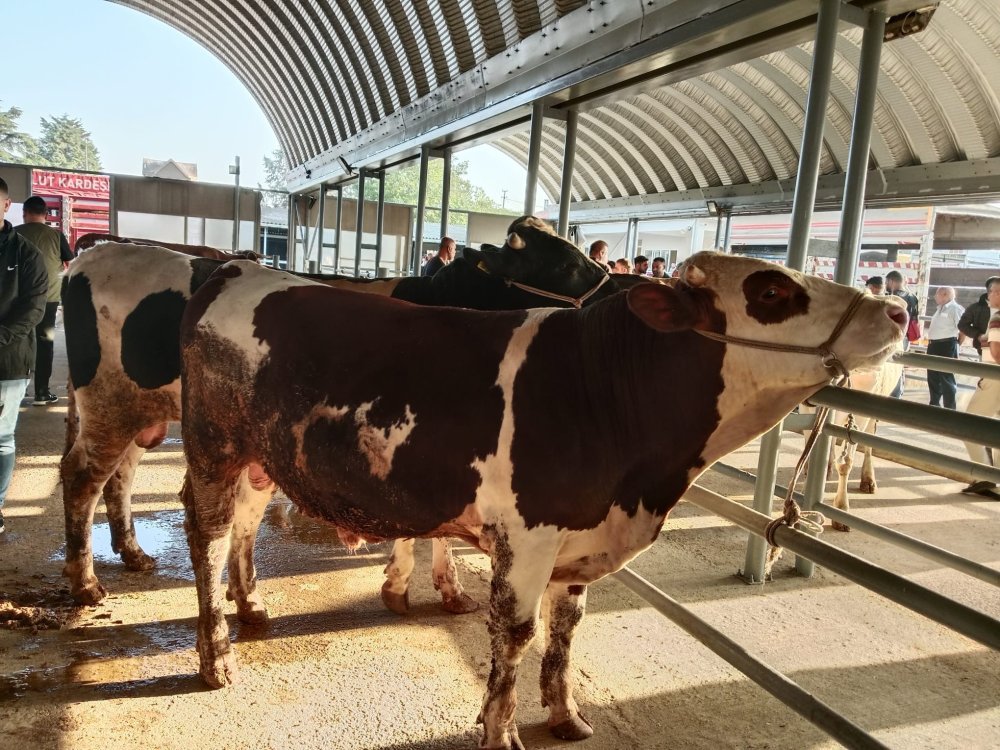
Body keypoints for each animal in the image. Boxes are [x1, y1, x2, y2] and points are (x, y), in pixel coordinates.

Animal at [58, 220, 616, 608]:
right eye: (563, 263)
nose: (613, 287)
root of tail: (95, 253)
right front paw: (415, 585)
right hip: (109, 403)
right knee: (83, 477)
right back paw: (86, 582)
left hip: (134, 409)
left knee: (120, 476)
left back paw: (132, 553)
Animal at [180, 254, 908, 750]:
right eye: (773, 290)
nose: (898, 312)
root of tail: (233, 269)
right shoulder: (529, 535)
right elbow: (517, 636)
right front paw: (500, 733)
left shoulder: (577, 541)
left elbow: (565, 632)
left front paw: (565, 715)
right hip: (214, 449)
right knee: (208, 536)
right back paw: (217, 657)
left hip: (261, 461)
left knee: (245, 526)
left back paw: (252, 609)